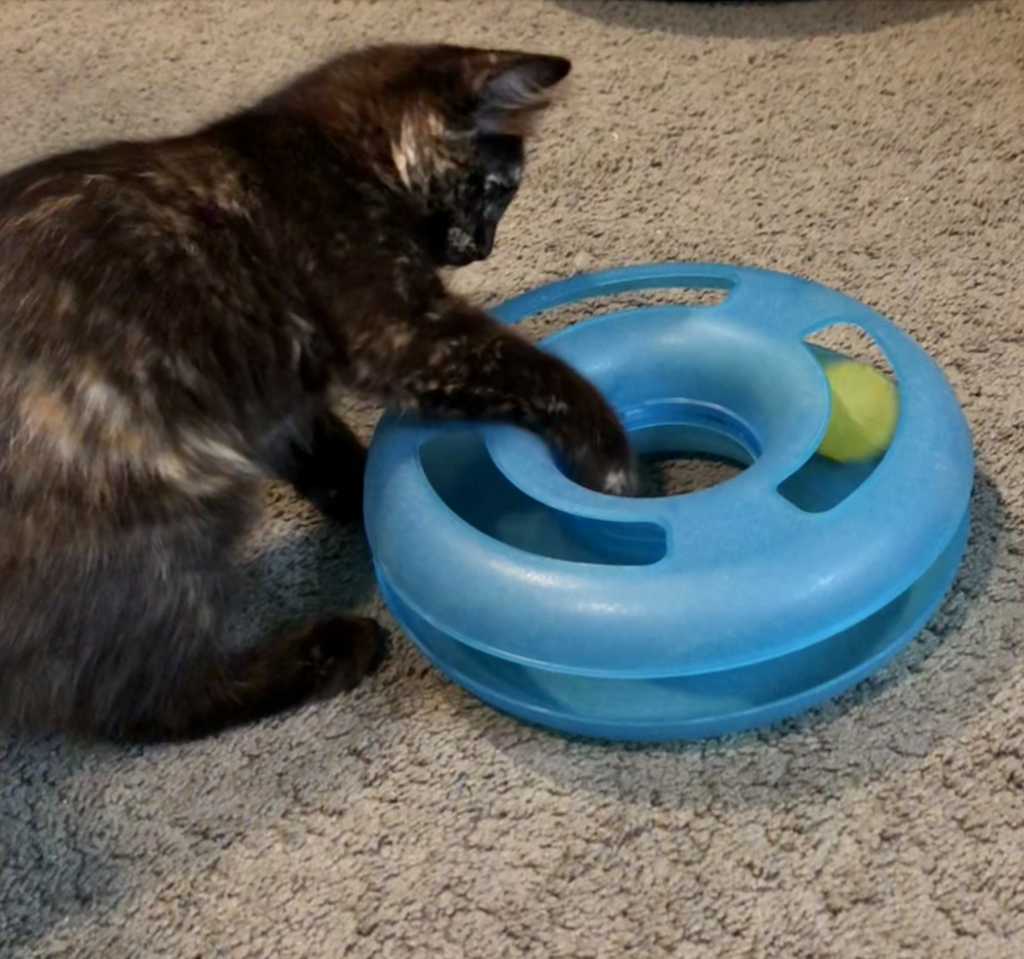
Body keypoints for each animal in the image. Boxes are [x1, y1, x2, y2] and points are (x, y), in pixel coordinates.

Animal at [0, 42, 638, 740]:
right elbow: (542, 373)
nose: (482, 249)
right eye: (498, 190)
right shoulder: (405, 334)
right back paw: (330, 649)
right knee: (139, 701)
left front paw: (363, 501)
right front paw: (614, 464)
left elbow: (330, 455)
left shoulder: (283, 402)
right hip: (176, 512)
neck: (335, 154)